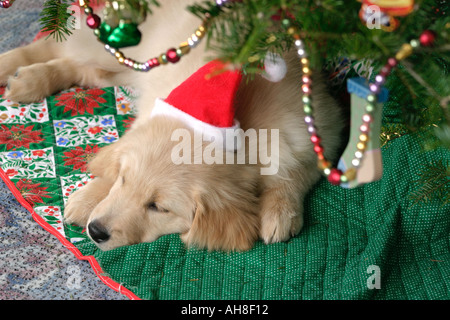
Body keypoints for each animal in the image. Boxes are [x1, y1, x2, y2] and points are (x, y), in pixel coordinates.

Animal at [0, 0, 344, 250]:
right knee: (53, 46)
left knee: (79, 68)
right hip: (120, 46)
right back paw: (17, 70)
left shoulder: (317, 129)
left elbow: (294, 173)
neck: (244, 123)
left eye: (158, 208)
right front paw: (89, 196)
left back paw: (28, 80)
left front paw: (279, 211)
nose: (96, 231)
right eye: (124, 180)